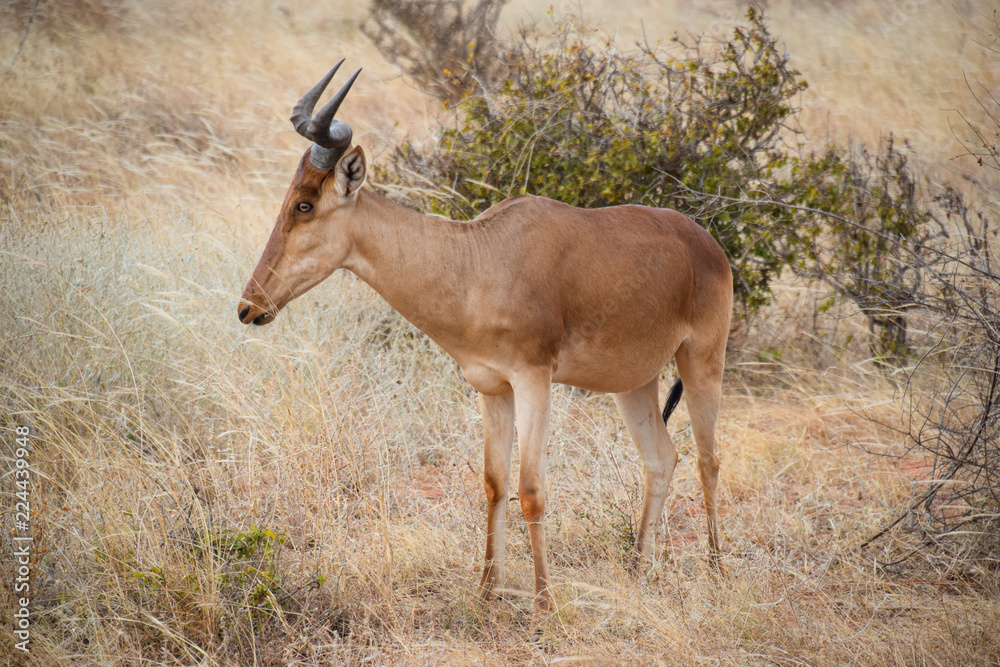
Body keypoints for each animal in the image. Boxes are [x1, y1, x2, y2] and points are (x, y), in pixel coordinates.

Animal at [238, 61, 733, 613]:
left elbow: (532, 488)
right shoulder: (491, 388)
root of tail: (706, 243)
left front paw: (544, 605)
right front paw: (485, 591)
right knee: (661, 459)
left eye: (305, 205)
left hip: (702, 360)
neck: (480, 257)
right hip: (633, 381)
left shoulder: (534, 380)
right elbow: (495, 483)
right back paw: (636, 573)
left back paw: (715, 571)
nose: (249, 307)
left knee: (709, 459)